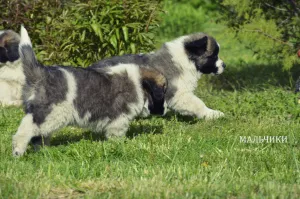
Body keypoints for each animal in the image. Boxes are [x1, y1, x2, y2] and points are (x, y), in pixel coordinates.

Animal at [12, 26, 166, 156]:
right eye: (162, 94)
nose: (164, 110)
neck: (139, 83)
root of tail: (41, 73)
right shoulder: (120, 118)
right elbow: (117, 133)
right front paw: (119, 145)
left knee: (38, 135)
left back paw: (44, 151)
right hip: (49, 113)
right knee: (27, 129)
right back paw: (18, 151)